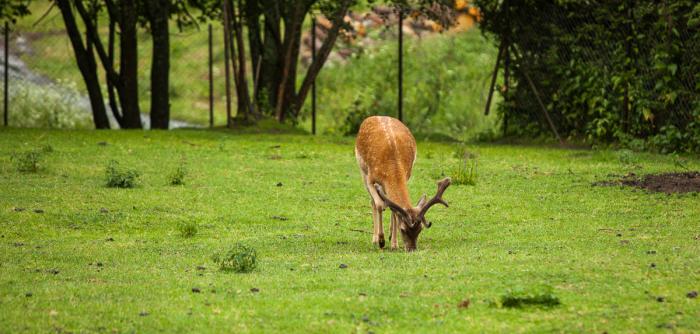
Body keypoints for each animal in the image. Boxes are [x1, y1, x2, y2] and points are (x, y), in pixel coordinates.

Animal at [352, 115, 452, 250]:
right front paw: (381, 241)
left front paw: (394, 244)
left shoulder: (406, 175)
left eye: (420, 229)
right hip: (362, 170)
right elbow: (379, 205)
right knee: (373, 202)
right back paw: (375, 238)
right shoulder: (370, 178)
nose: (412, 249)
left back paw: (389, 235)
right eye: (403, 229)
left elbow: (394, 210)